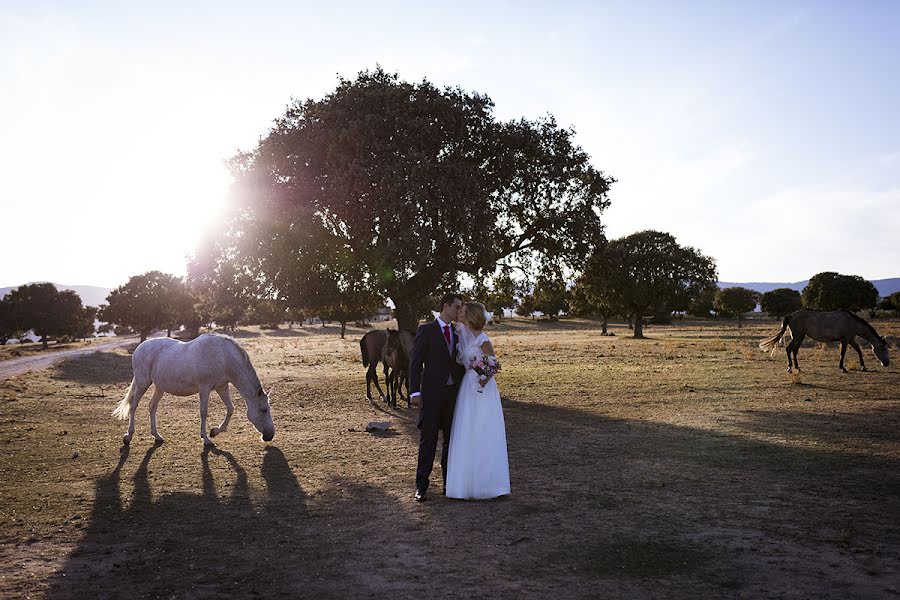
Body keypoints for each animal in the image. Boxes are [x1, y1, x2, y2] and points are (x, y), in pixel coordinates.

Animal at [114, 332, 274, 446]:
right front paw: (206, 439)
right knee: (134, 406)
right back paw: (128, 436)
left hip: (159, 387)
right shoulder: (205, 388)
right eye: (264, 410)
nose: (270, 435)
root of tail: (139, 348)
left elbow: (230, 408)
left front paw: (215, 431)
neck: (223, 357)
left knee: (152, 407)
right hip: (143, 383)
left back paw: (157, 436)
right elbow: (203, 412)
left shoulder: (222, 387)